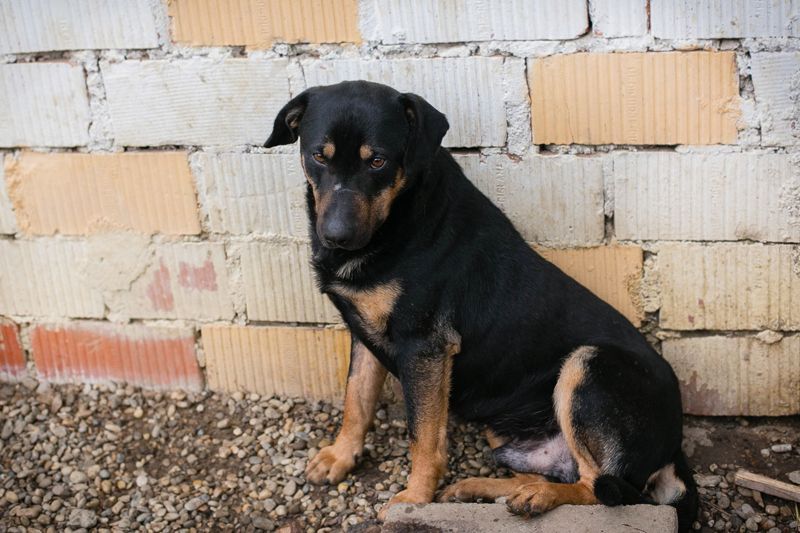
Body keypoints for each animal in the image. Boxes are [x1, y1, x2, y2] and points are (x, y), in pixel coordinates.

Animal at [265, 80, 698, 530]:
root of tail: (674, 451)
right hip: (506, 427)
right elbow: (356, 399)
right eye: (319, 155)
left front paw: (415, 498)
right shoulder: (364, 334)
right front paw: (340, 455)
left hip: (588, 365)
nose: (337, 236)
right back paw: (483, 488)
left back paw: (537, 497)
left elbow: (423, 438)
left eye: (378, 161)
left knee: (601, 488)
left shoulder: (425, 347)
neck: (399, 216)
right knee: (557, 473)